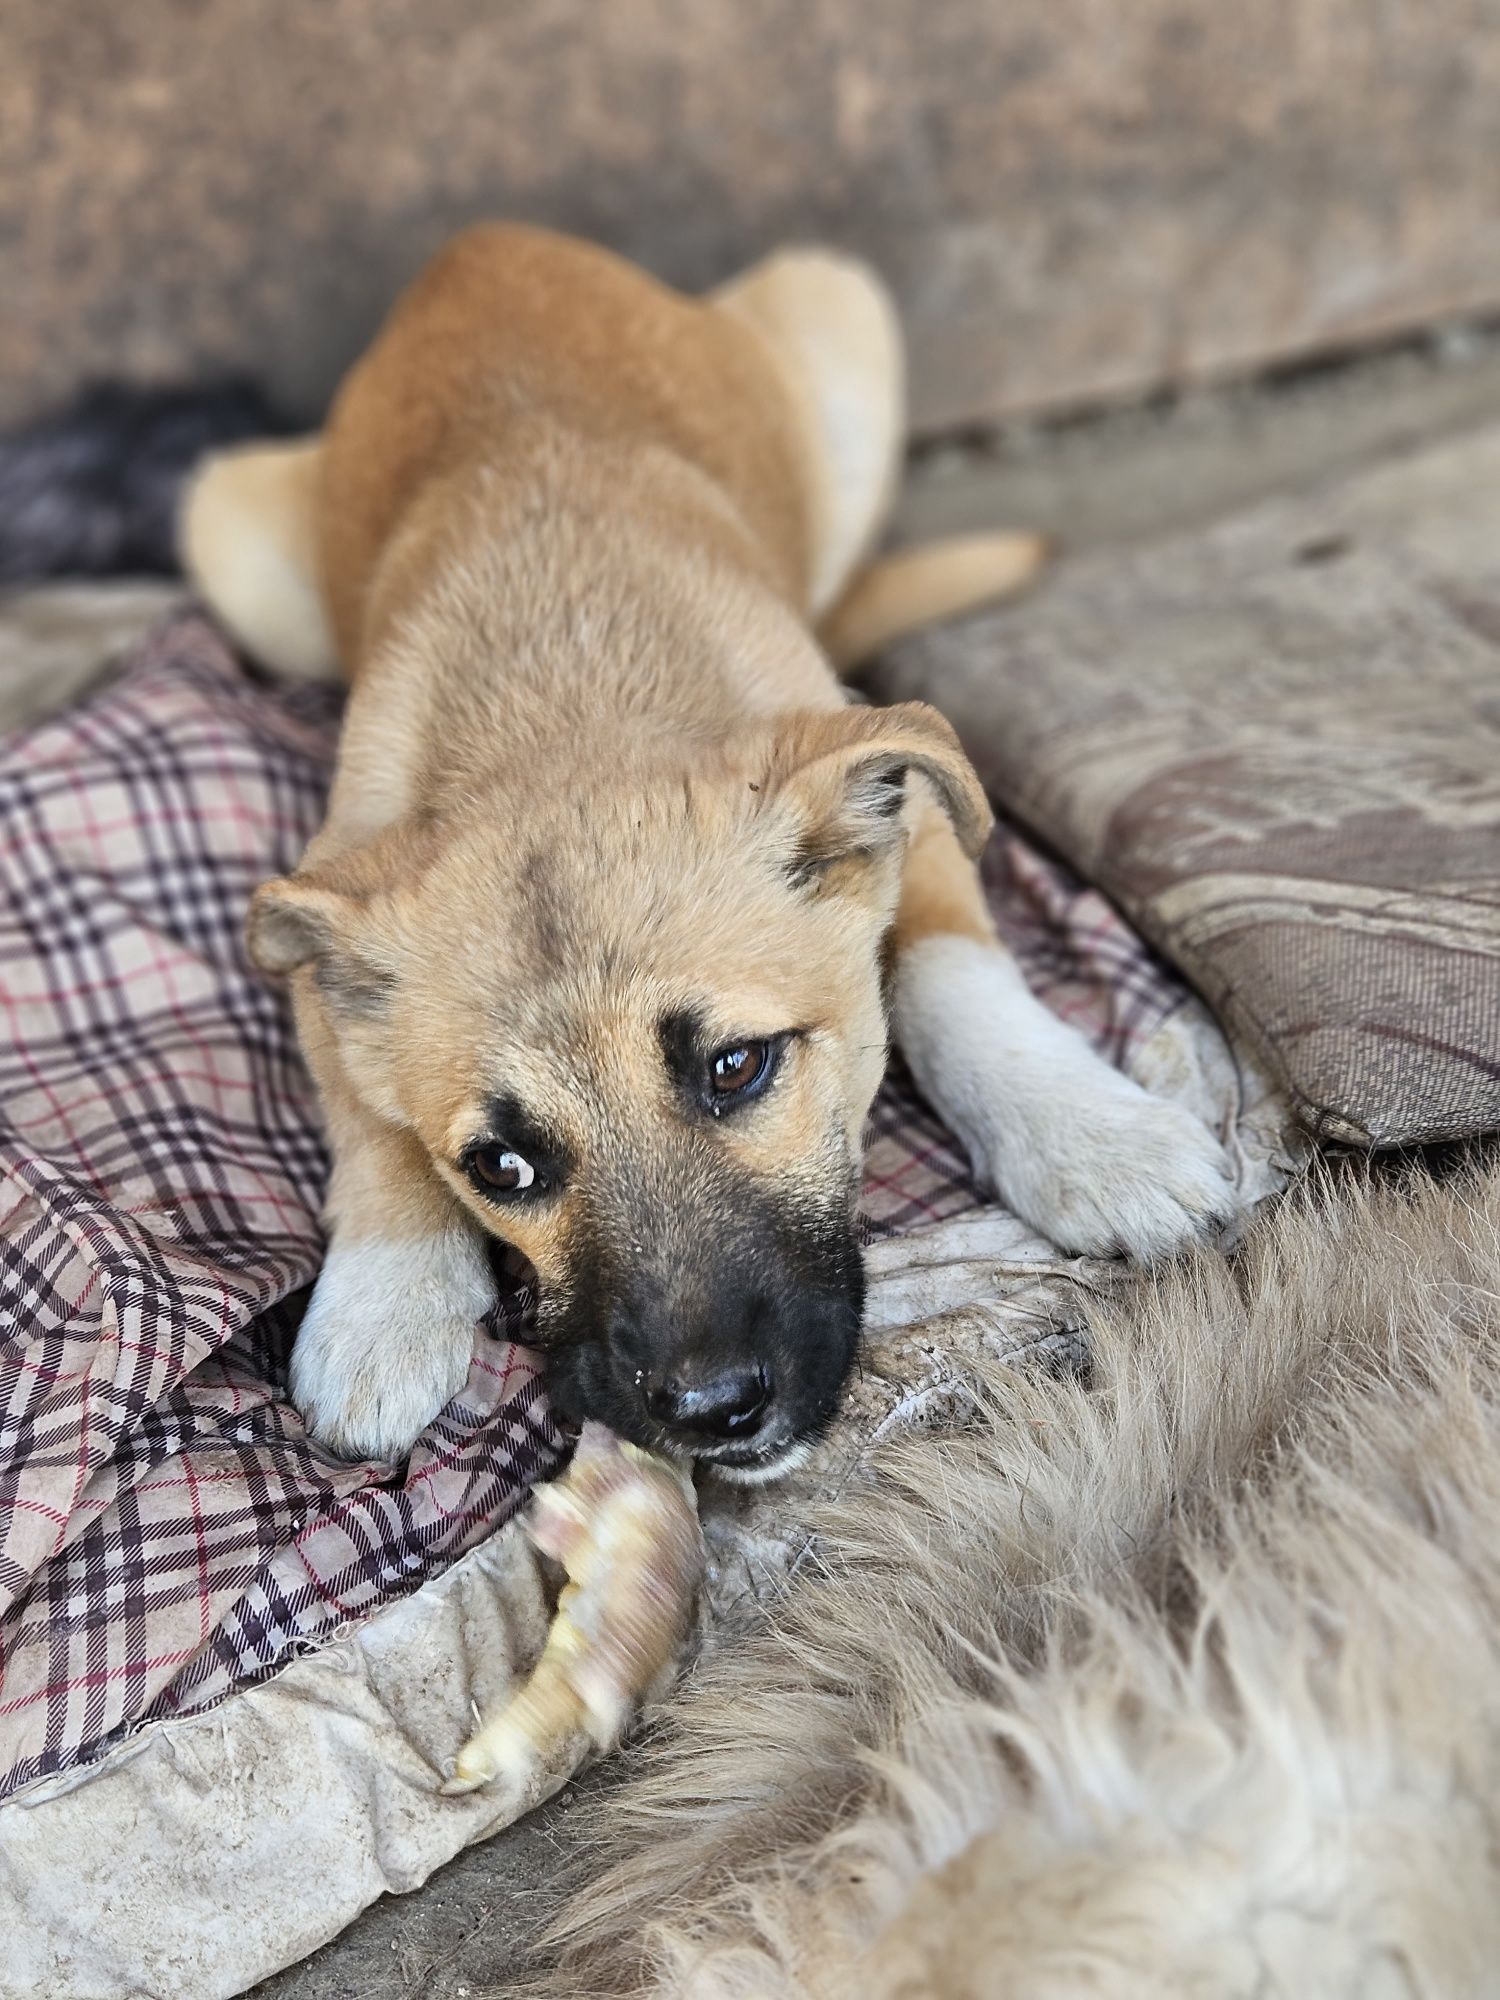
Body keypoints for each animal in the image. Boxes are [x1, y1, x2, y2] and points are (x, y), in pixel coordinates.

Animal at [182, 230, 1240, 1472]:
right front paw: (383, 1298)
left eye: (737, 1066)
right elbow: (367, 1113)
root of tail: (487, 241)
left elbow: (953, 970)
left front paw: (1093, 1133)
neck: (562, 692)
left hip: (839, 325)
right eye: (500, 1167)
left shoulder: (914, 814)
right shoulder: (321, 914)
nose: (711, 1409)